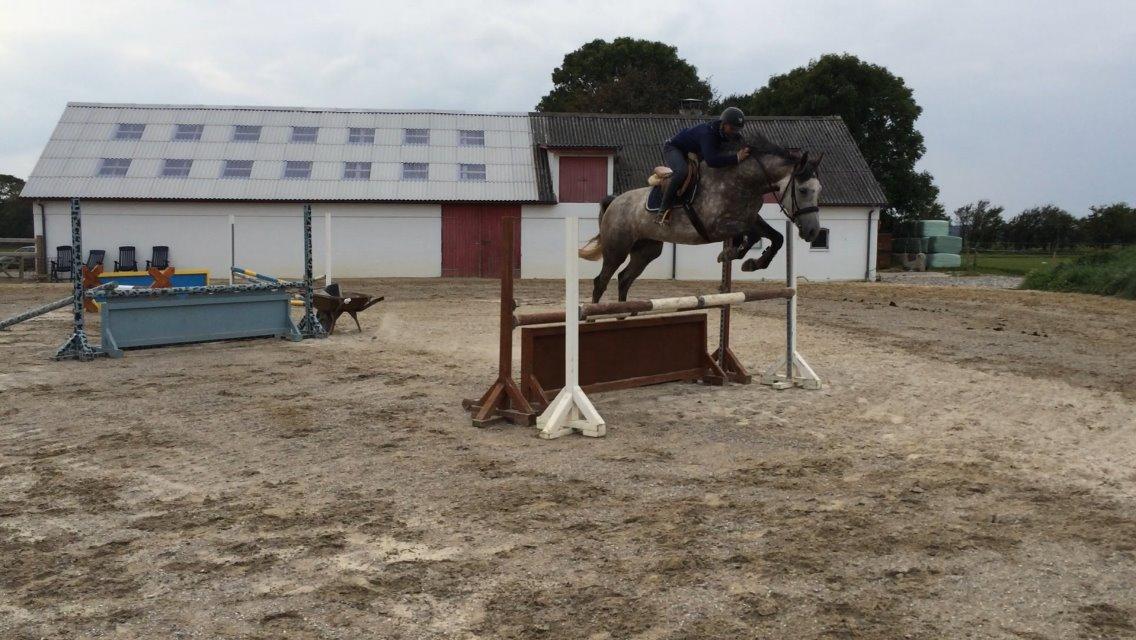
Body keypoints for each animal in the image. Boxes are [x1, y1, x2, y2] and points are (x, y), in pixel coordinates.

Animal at [581, 133, 822, 302]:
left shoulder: (750, 219)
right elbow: (750, 237)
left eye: (819, 189)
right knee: (601, 282)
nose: (813, 232)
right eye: (803, 190)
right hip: (617, 249)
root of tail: (614, 202)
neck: (743, 181)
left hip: (646, 251)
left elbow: (776, 237)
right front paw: (731, 254)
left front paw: (754, 262)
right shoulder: (715, 226)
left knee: (624, 279)